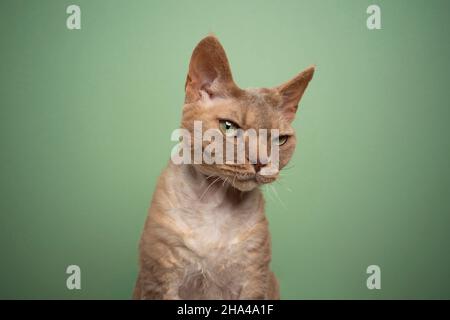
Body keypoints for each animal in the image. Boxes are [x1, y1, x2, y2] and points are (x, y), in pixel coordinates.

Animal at [134, 35, 314, 300]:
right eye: (228, 127)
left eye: (280, 140)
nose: (261, 162)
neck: (214, 201)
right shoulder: (160, 280)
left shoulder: (254, 281)